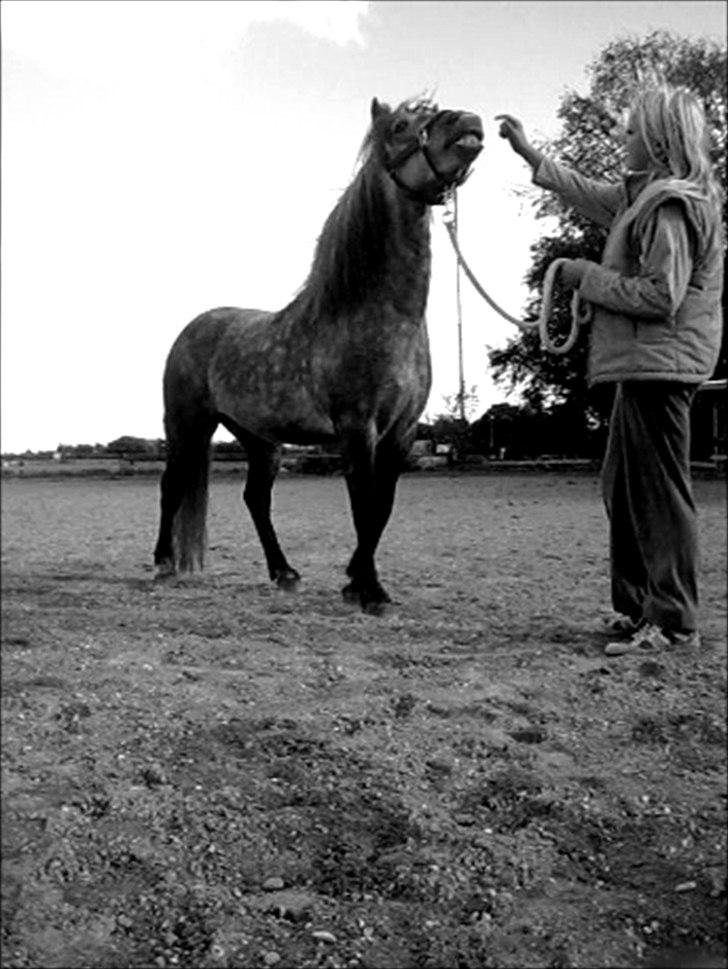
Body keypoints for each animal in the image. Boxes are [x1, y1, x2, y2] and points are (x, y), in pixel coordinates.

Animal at [154, 98, 484, 612]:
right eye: (400, 125)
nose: (466, 121)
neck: (382, 316)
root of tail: (194, 327)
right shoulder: (357, 427)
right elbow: (363, 505)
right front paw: (369, 590)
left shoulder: (402, 432)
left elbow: (381, 508)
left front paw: (357, 580)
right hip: (187, 425)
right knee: (172, 486)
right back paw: (164, 563)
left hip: (259, 439)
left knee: (256, 498)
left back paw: (284, 572)